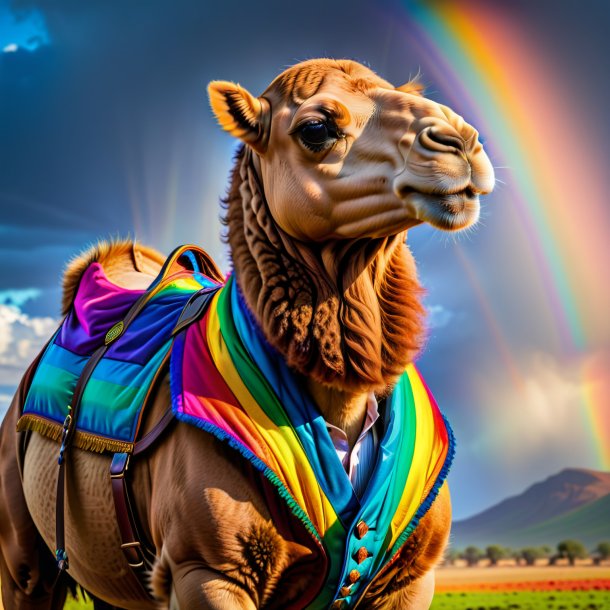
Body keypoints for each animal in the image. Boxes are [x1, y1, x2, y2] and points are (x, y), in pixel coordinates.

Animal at [0, 58, 492, 608]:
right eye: (316, 128)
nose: (460, 140)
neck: (342, 404)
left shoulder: (412, 578)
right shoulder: (208, 570)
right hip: (24, 558)